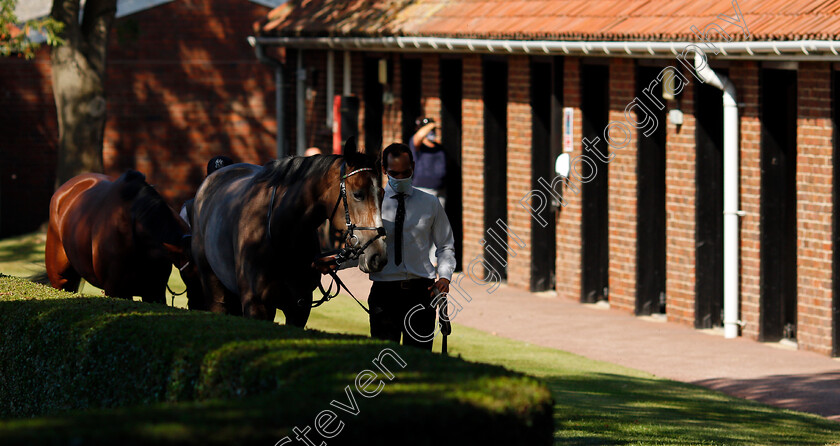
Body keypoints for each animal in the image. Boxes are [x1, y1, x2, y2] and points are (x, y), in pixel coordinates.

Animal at [190, 145, 388, 326]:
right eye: (358, 194)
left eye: (382, 193)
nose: (378, 255)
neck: (282, 231)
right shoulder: (256, 305)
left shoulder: (300, 306)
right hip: (214, 289)